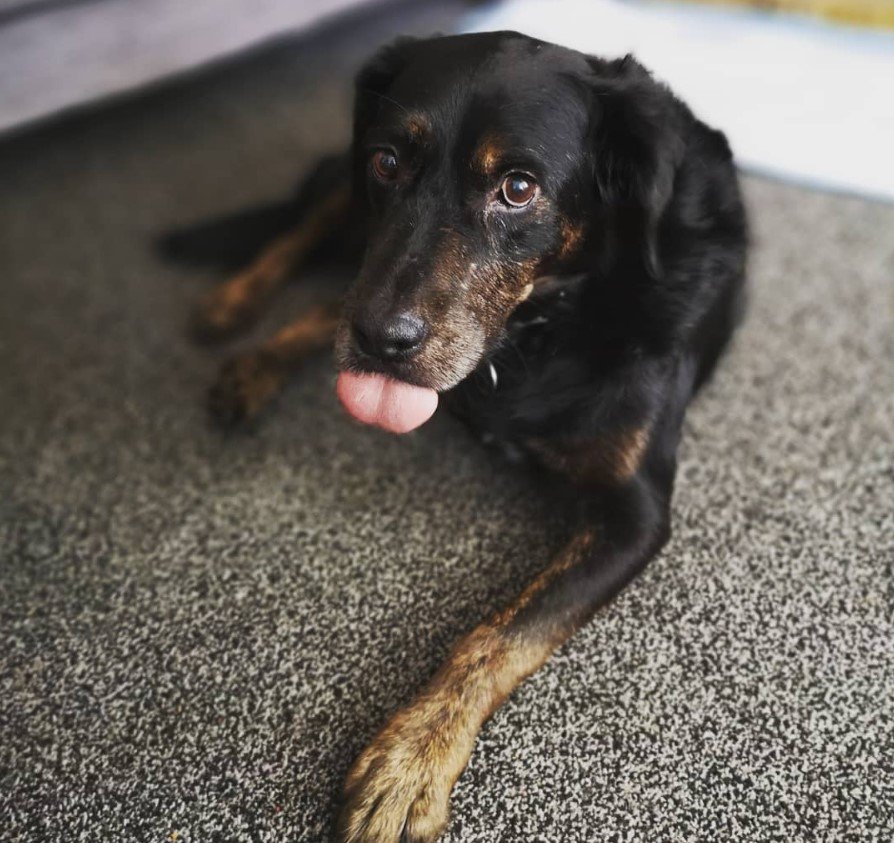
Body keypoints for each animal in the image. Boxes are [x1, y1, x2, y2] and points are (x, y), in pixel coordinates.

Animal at [163, 29, 748, 843]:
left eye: (518, 188)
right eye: (387, 162)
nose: (381, 339)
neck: (537, 331)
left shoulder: (634, 512)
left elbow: (500, 634)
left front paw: (410, 761)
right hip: (350, 220)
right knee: (316, 242)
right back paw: (238, 316)